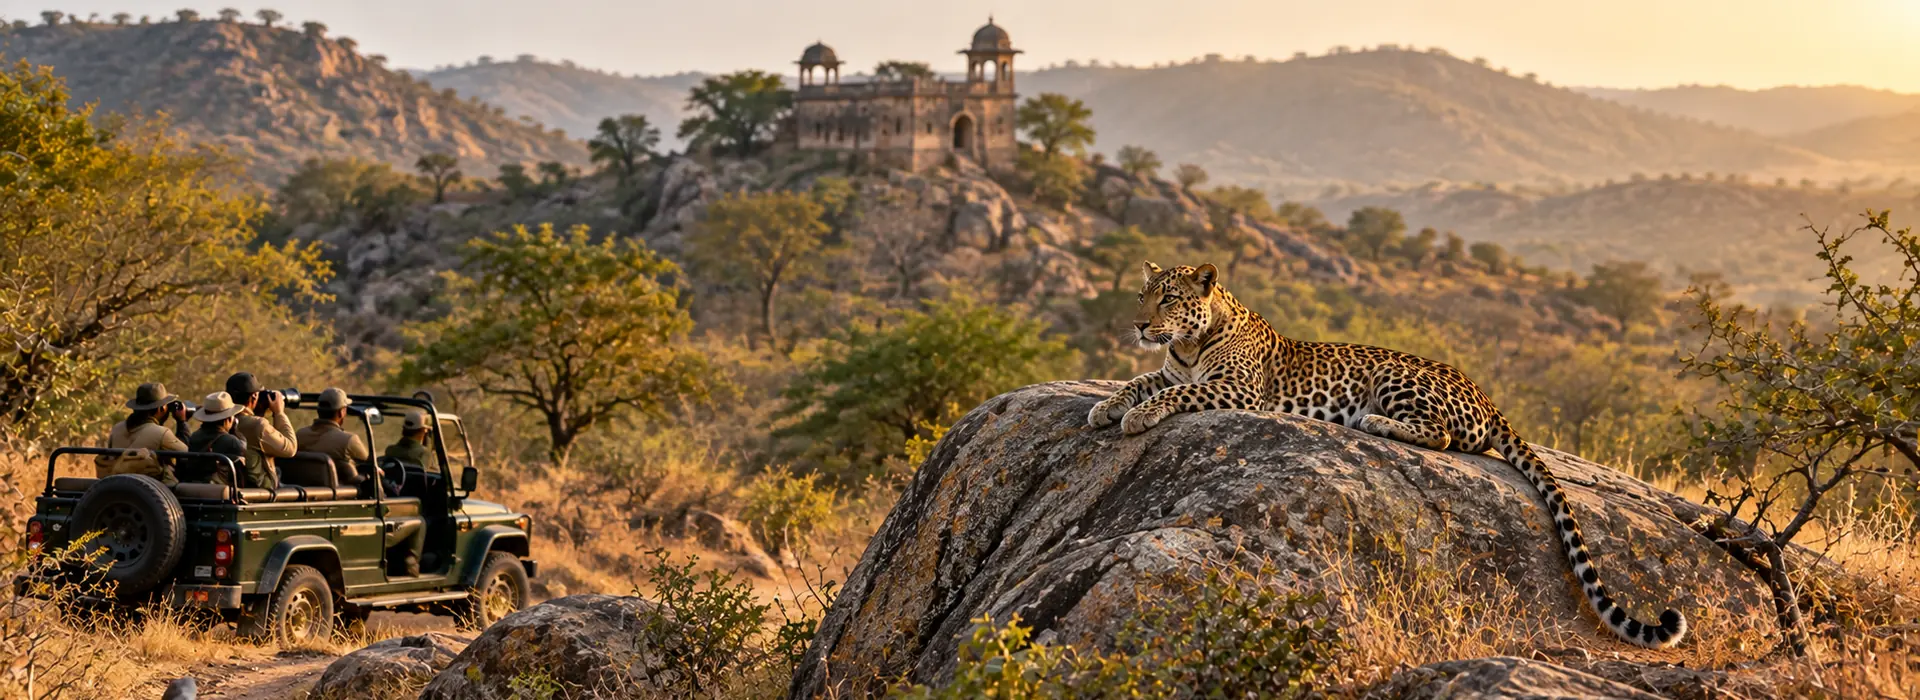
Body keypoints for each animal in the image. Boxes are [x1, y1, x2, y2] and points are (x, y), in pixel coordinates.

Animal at [1086, 261, 1687, 648]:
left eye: (1168, 298)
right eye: (1142, 296)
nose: (1139, 323)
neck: (1189, 346)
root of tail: (1486, 394)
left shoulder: (1237, 390)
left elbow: (1174, 395)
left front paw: (1136, 416)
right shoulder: (1168, 370)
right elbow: (1138, 381)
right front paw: (1105, 409)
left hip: (1395, 375)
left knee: (1444, 436)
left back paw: (1374, 421)